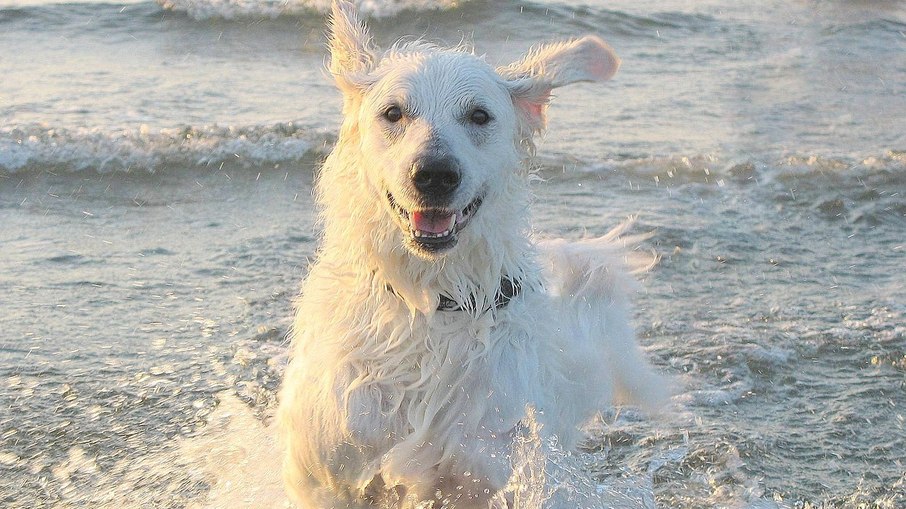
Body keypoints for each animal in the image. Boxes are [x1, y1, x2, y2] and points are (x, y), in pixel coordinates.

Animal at [278, 1, 668, 506]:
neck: (431, 299)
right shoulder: (328, 468)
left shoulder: (486, 465)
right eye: (393, 113)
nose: (434, 174)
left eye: (480, 116)